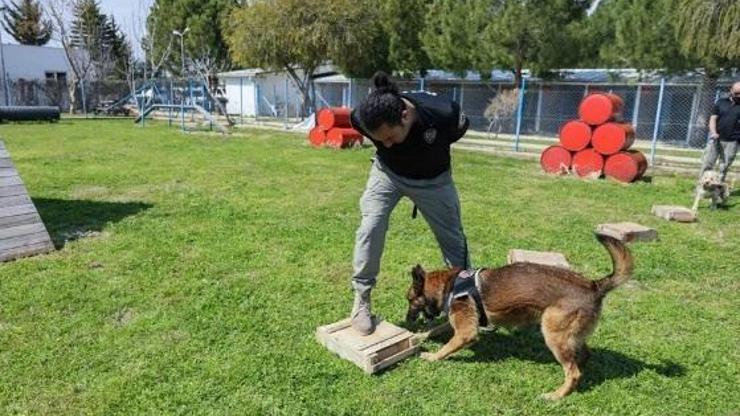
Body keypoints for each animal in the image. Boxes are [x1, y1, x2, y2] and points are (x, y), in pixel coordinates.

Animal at [408, 234, 632, 400]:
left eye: (409, 300)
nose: (408, 319)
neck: (450, 285)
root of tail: (594, 285)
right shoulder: (457, 320)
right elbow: (434, 329)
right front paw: (419, 336)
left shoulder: (465, 332)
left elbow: (446, 347)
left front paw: (433, 356)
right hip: (569, 335)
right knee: (582, 357)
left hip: (552, 333)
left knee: (573, 371)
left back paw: (556, 395)